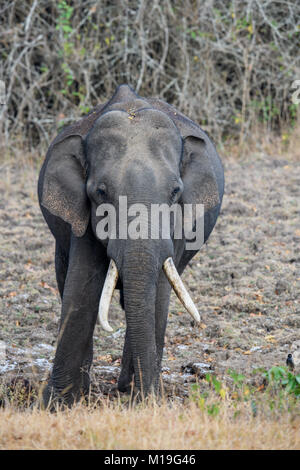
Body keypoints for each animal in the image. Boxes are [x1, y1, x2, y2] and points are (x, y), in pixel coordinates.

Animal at [37, 85, 224, 408]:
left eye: (176, 192)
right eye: (100, 192)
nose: (153, 399)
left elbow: (158, 294)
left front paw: (145, 400)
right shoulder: (83, 219)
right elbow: (82, 289)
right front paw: (56, 406)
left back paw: (125, 385)